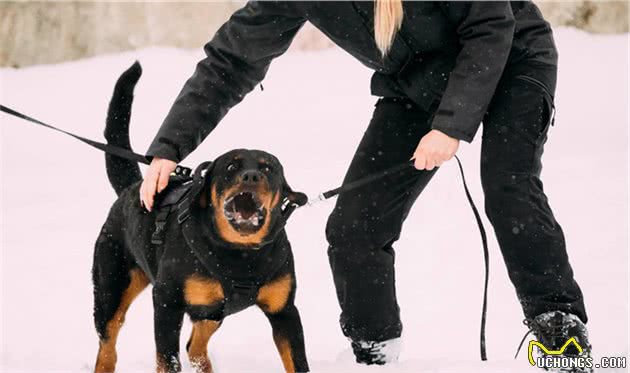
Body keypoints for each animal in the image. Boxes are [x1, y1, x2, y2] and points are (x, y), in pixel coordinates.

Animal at [93, 62, 308, 370]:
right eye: (231, 167)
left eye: (269, 168)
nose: (251, 176)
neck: (241, 255)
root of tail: (131, 189)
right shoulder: (167, 301)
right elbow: (167, 360)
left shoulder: (285, 311)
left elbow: (297, 360)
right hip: (112, 285)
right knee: (108, 344)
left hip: (211, 309)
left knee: (195, 345)